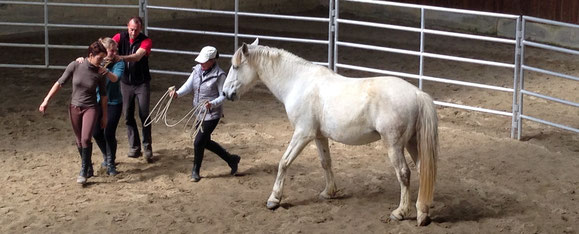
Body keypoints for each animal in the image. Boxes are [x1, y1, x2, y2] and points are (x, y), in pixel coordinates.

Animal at [223, 39, 440, 226]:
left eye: (236, 67)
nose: (225, 93)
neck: (298, 82)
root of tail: (417, 94)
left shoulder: (303, 134)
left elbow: (284, 162)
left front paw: (274, 199)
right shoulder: (319, 136)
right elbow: (325, 162)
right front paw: (329, 193)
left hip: (394, 145)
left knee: (404, 173)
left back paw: (400, 212)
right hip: (412, 142)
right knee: (422, 170)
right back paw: (422, 213)